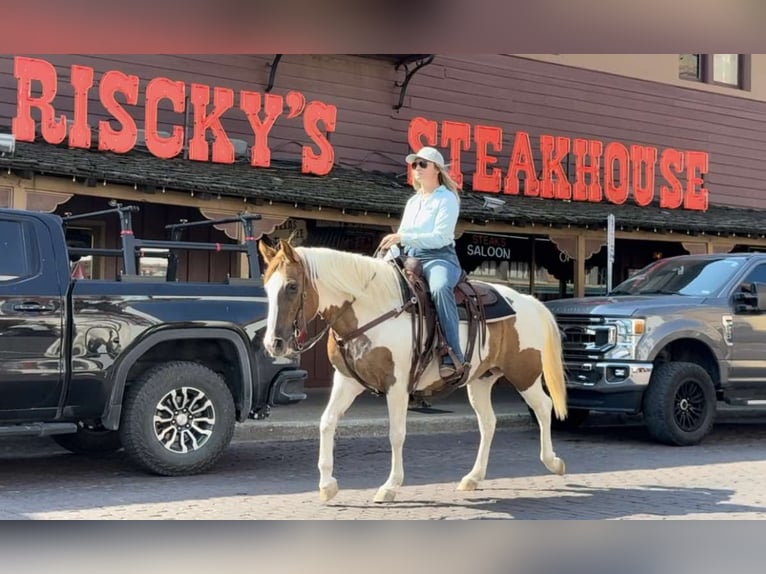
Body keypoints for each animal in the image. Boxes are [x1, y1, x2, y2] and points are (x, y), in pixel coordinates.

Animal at [260, 238, 568, 504]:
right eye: (266, 288)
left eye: (291, 286)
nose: (274, 343)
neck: (373, 310)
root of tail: (530, 301)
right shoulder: (347, 381)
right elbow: (327, 422)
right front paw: (327, 485)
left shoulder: (397, 385)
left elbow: (396, 433)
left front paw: (390, 486)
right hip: (481, 380)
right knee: (488, 422)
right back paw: (473, 477)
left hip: (524, 375)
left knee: (543, 407)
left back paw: (553, 462)